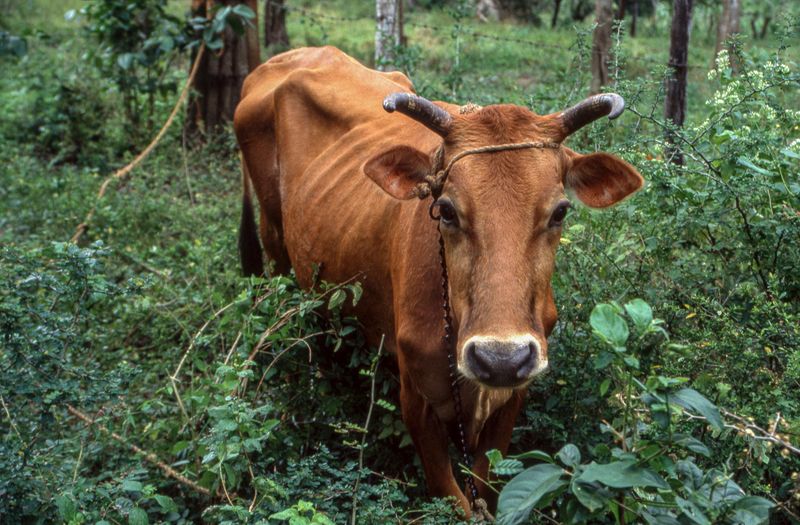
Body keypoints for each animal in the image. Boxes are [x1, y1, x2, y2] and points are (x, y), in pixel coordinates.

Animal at [234, 46, 643, 517]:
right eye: (445, 209)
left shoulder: (512, 397)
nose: (500, 359)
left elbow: (485, 484)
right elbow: (452, 498)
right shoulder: (416, 397)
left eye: (560, 211)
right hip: (274, 242)